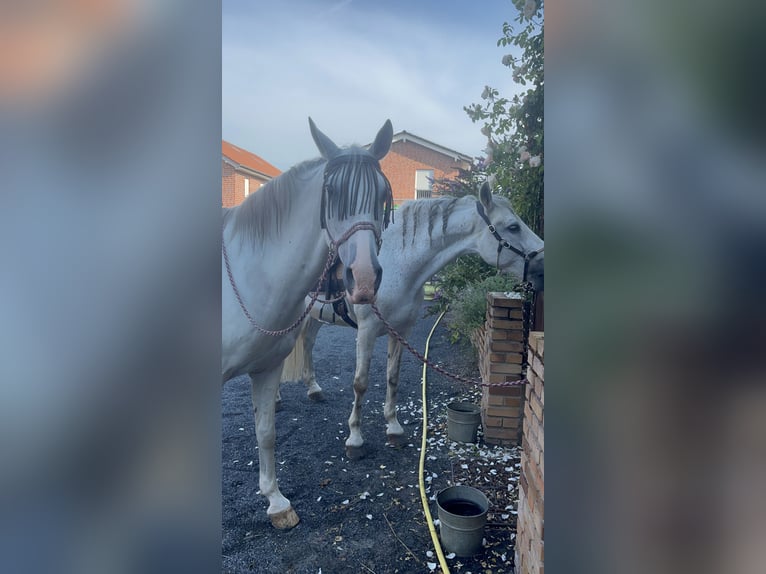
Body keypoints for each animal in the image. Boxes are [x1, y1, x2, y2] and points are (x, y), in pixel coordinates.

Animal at [220, 118, 390, 532]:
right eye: (332, 193)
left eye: (382, 195)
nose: (364, 280)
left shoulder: (266, 370)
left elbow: (266, 433)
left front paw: (276, 502)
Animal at [282, 182, 544, 462]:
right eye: (513, 227)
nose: (542, 267)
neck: (396, 262)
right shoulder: (366, 331)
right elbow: (360, 383)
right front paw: (355, 439)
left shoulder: (401, 331)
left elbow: (392, 378)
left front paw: (394, 429)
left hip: (315, 315)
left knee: (308, 343)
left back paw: (314, 389)